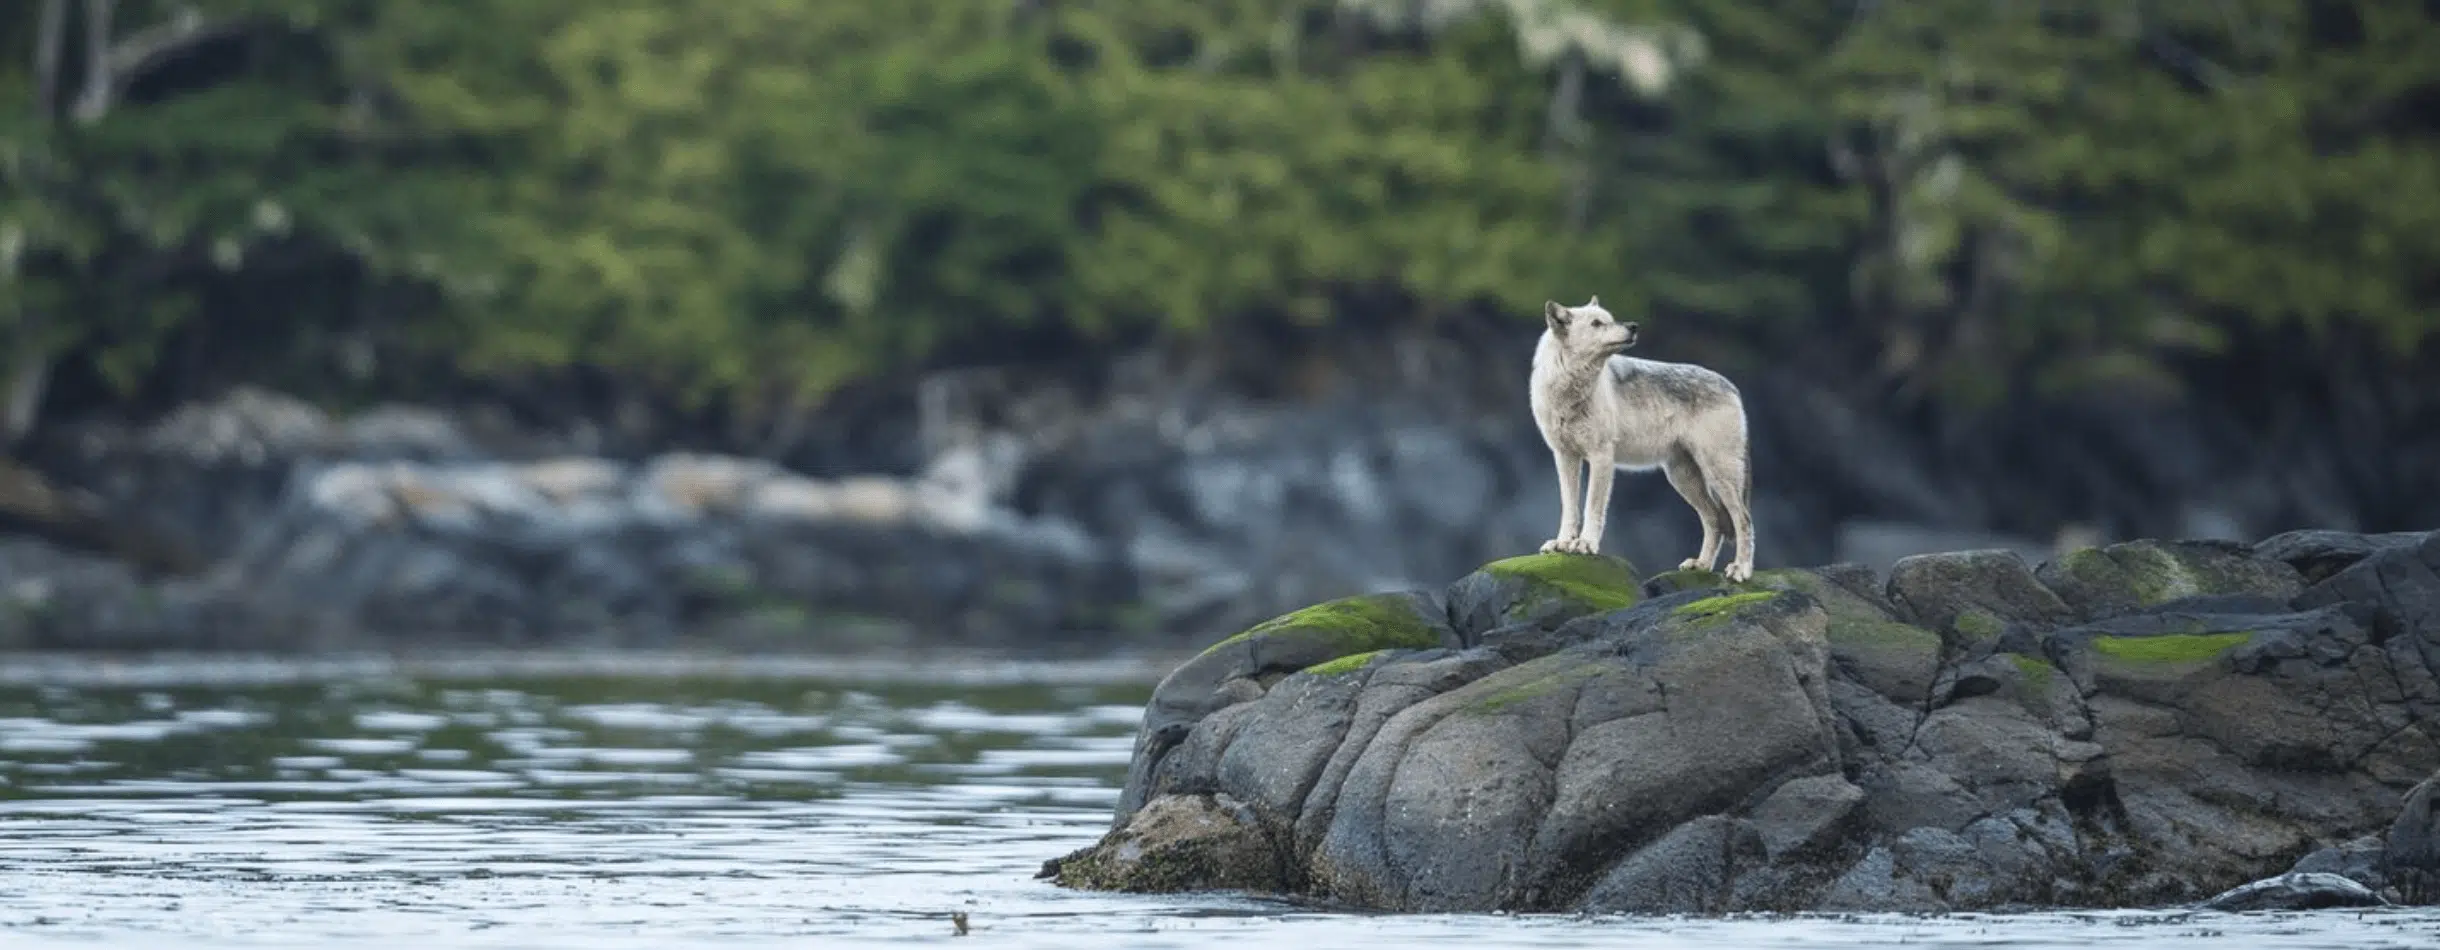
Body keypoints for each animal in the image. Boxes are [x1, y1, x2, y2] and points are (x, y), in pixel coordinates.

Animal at [1522, 295, 1756, 581]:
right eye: (1597, 323)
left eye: (1611, 319)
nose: (1633, 326)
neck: (1570, 391)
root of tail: (1733, 387)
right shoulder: (1565, 457)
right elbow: (1569, 507)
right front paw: (1562, 543)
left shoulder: (1601, 457)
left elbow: (1593, 508)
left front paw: (1585, 544)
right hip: (1682, 478)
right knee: (1714, 520)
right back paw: (1701, 564)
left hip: (1719, 474)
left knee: (1743, 520)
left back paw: (1741, 569)